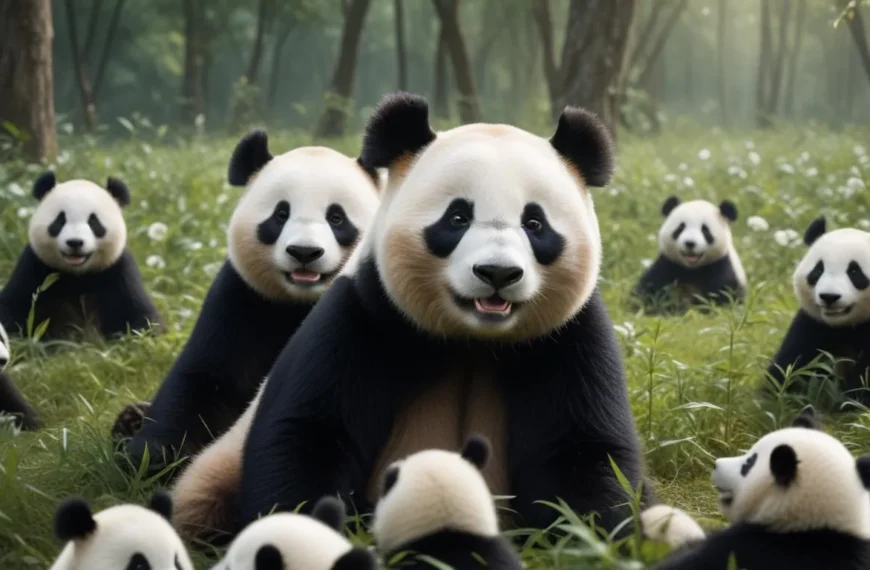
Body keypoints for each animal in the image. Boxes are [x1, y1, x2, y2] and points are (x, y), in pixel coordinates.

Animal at [0, 173, 163, 340]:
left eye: (94, 222)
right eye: (60, 220)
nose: (75, 242)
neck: (78, 275)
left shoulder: (119, 269)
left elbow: (139, 314)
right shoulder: (34, 265)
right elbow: (13, 307)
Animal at [122, 130, 380, 483]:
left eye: (337, 218)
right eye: (281, 215)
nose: (304, 252)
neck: (300, 302)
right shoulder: (241, 298)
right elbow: (205, 378)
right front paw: (154, 457)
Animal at [234, 92, 651, 536]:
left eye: (535, 223)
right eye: (457, 218)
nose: (497, 273)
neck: (474, 340)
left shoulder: (569, 337)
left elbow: (583, 452)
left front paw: (587, 534)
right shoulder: (363, 316)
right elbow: (309, 437)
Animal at [768, 217, 870, 403]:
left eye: (854, 271)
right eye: (818, 270)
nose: (829, 297)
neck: (846, 325)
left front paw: (852, 399)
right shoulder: (814, 323)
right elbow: (795, 361)